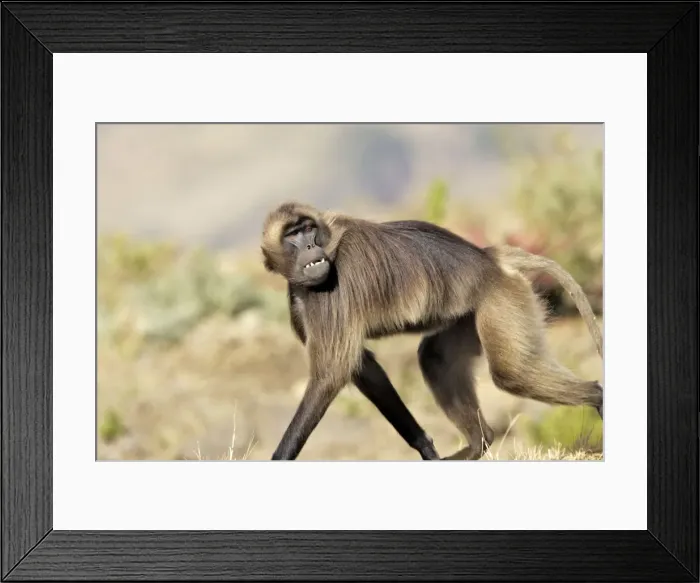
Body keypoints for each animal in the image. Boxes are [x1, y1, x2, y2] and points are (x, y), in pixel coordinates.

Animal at [260, 201, 603, 461]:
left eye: (308, 229)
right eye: (293, 234)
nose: (310, 245)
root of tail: (488, 257)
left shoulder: (334, 289)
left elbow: (333, 373)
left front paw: (280, 456)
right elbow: (364, 367)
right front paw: (425, 447)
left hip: (500, 298)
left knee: (512, 373)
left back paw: (598, 397)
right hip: (469, 312)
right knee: (436, 359)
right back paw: (478, 443)